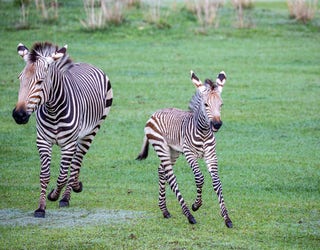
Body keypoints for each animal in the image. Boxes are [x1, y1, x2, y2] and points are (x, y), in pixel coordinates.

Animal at [12, 42, 112, 218]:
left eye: (40, 81)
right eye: (20, 79)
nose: (19, 115)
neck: (54, 111)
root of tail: (86, 63)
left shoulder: (68, 144)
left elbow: (62, 176)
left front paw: (54, 195)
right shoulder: (43, 141)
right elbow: (44, 175)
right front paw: (41, 208)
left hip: (92, 130)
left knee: (77, 161)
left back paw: (67, 195)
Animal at [136, 70, 232, 229]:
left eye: (221, 104)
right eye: (206, 104)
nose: (217, 125)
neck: (203, 132)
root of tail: (155, 113)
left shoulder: (211, 155)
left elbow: (217, 182)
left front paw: (227, 218)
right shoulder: (189, 154)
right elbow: (199, 178)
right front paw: (196, 205)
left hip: (173, 151)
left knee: (161, 171)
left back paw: (165, 210)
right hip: (162, 147)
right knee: (171, 177)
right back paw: (189, 215)